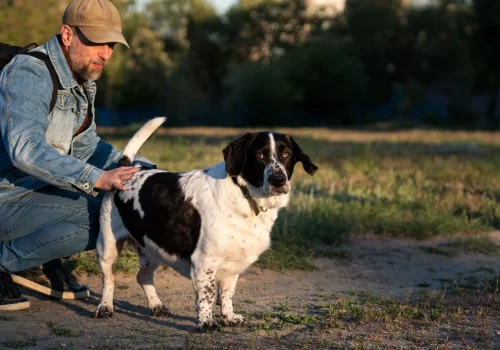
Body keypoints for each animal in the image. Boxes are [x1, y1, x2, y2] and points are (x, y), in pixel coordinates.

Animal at [95, 117, 318, 330]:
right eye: (260, 155)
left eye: (287, 154)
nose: (278, 180)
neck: (244, 194)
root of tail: (126, 168)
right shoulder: (205, 262)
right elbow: (207, 296)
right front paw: (206, 323)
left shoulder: (232, 263)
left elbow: (227, 294)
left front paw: (229, 318)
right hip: (107, 247)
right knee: (108, 278)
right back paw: (105, 307)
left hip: (153, 250)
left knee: (143, 276)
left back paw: (156, 305)